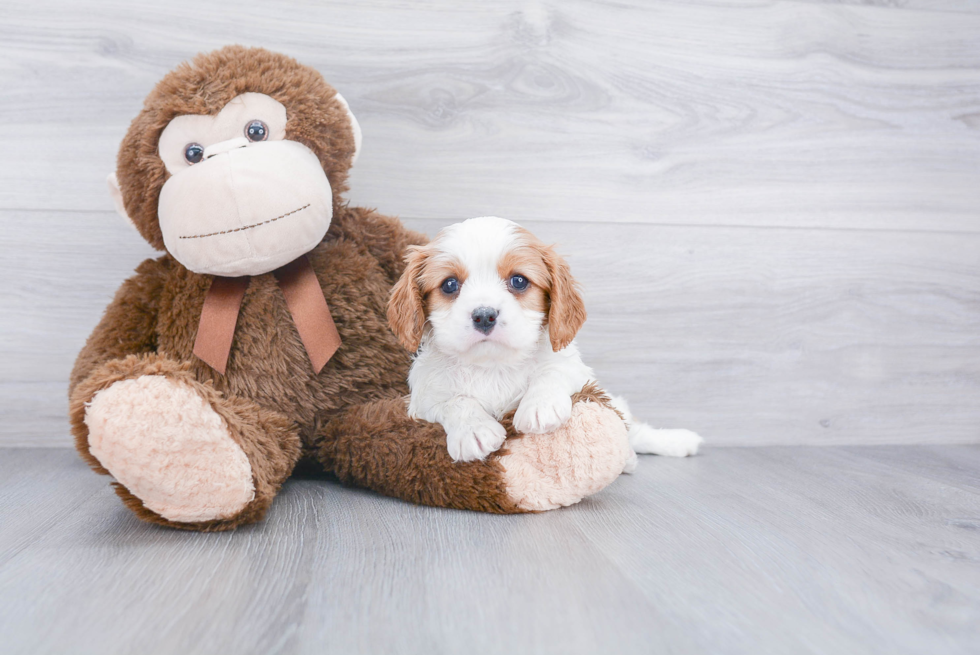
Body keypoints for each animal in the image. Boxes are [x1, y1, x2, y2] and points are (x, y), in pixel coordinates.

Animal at [386, 218, 700, 464]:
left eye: (519, 281)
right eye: (450, 285)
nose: (484, 315)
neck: (493, 366)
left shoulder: (577, 372)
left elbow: (552, 372)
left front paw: (540, 406)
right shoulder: (422, 400)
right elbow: (455, 401)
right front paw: (474, 430)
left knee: (635, 430)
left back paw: (677, 441)